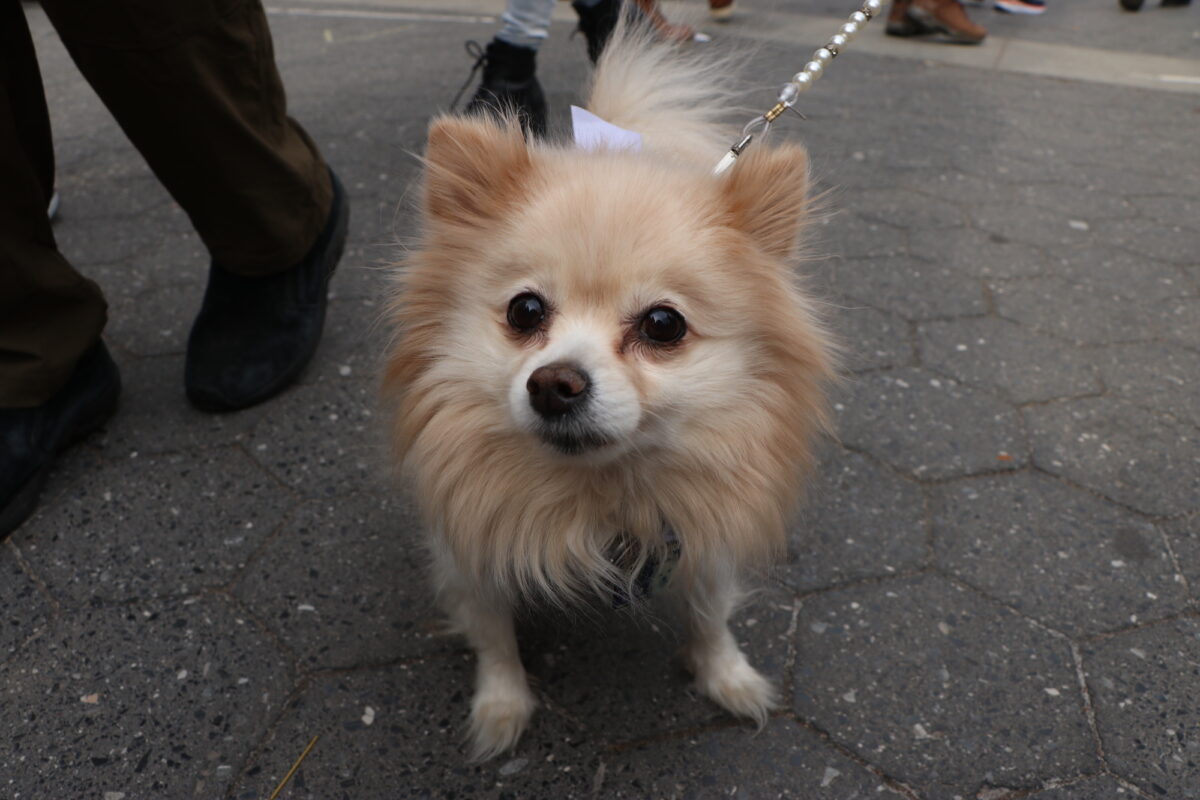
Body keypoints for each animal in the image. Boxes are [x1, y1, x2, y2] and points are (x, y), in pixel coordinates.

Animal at [384, 15, 835, 762]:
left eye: (662, 324)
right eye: (525, 312)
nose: (555, 383)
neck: (600, 495)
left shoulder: (704, 532)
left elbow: (710, 614)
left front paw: (728, 676)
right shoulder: (469, 539)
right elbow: (493, 633)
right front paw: (502, 707)